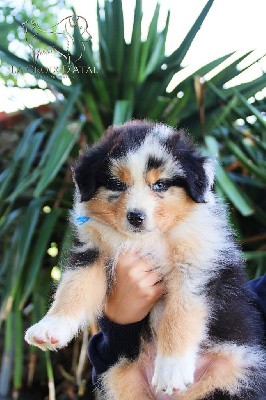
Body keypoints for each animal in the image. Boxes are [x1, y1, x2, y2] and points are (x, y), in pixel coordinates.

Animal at [24, 121, 264, 400]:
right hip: (120, 378)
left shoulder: (195, 266)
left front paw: (172, 370)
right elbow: (73, 289)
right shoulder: (92, 251)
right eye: (117, 184)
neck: (145, 239)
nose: (136, 217)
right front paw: (50, 328)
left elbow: (178, 315)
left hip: (235, 373)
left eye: (160, 185)